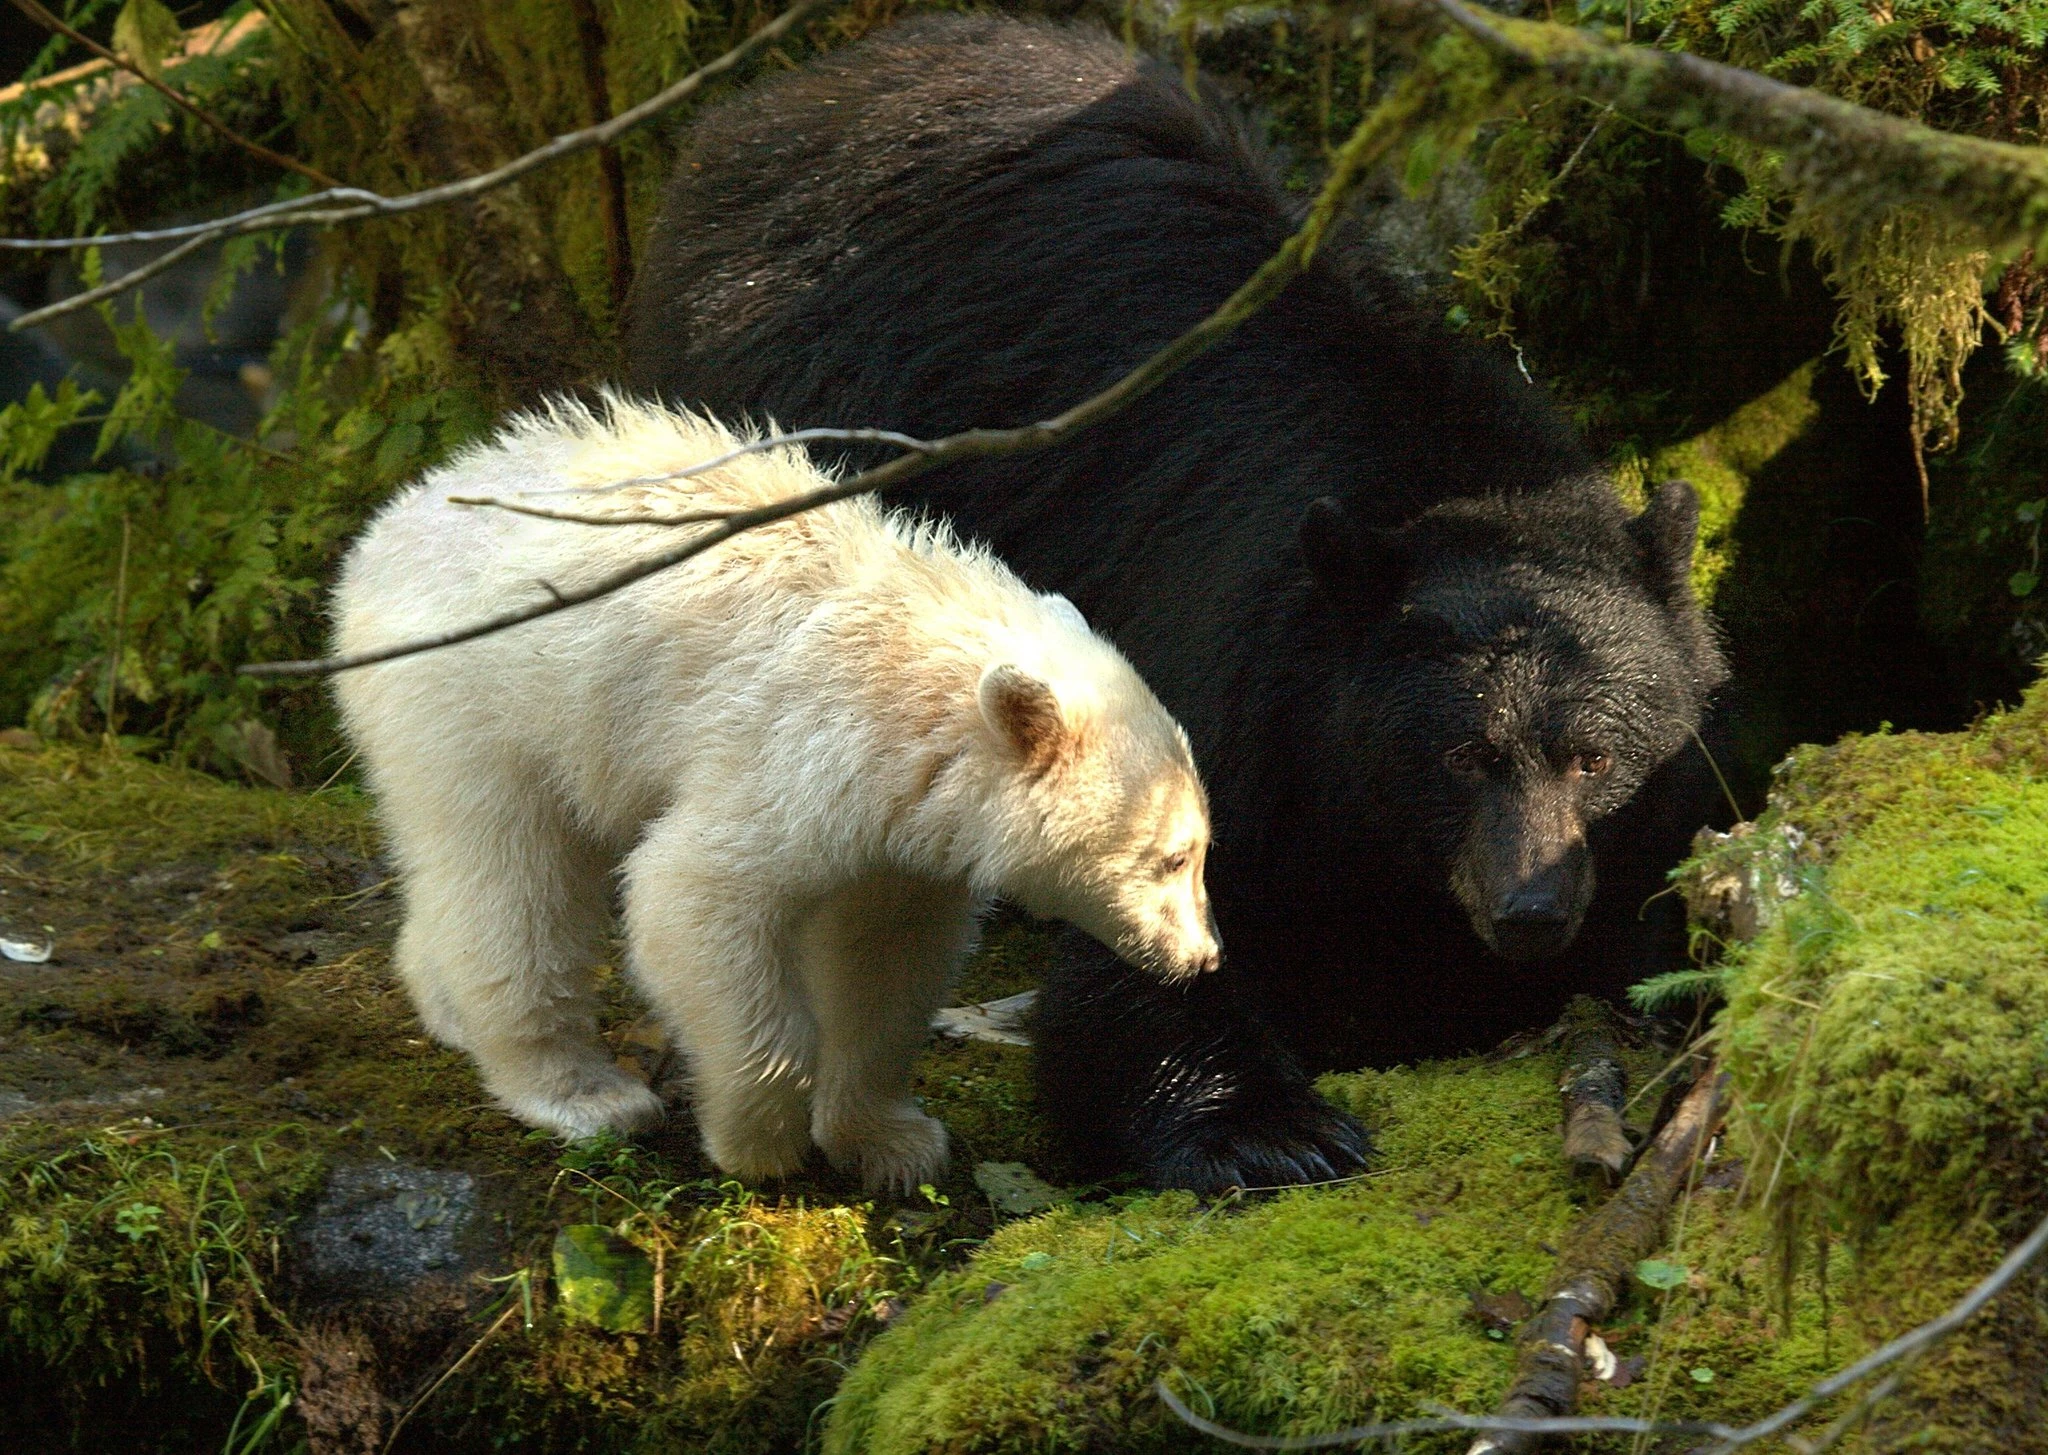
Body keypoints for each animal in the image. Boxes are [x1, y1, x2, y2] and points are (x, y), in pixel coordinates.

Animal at [323, 395, 1212, 1196]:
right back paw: (583, 1090)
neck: (916, 686)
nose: (1203, 958)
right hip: (481, 701)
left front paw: (893, 1141)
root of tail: (382, 533)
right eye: (1171, 856)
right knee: (515, 877)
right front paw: (758, 1140)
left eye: (1205, 846)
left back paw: (446, 1007)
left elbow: (884, 960)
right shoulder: (795, 749)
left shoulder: (903, 830)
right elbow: (694, 896)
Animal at [626, 14, 1728, 1196]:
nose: (1529, 912)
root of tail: (776, 104)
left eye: (1594, 756)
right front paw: (1267, 1126)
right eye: (1460, 755)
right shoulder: (1232, 678)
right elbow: (1160, 927)